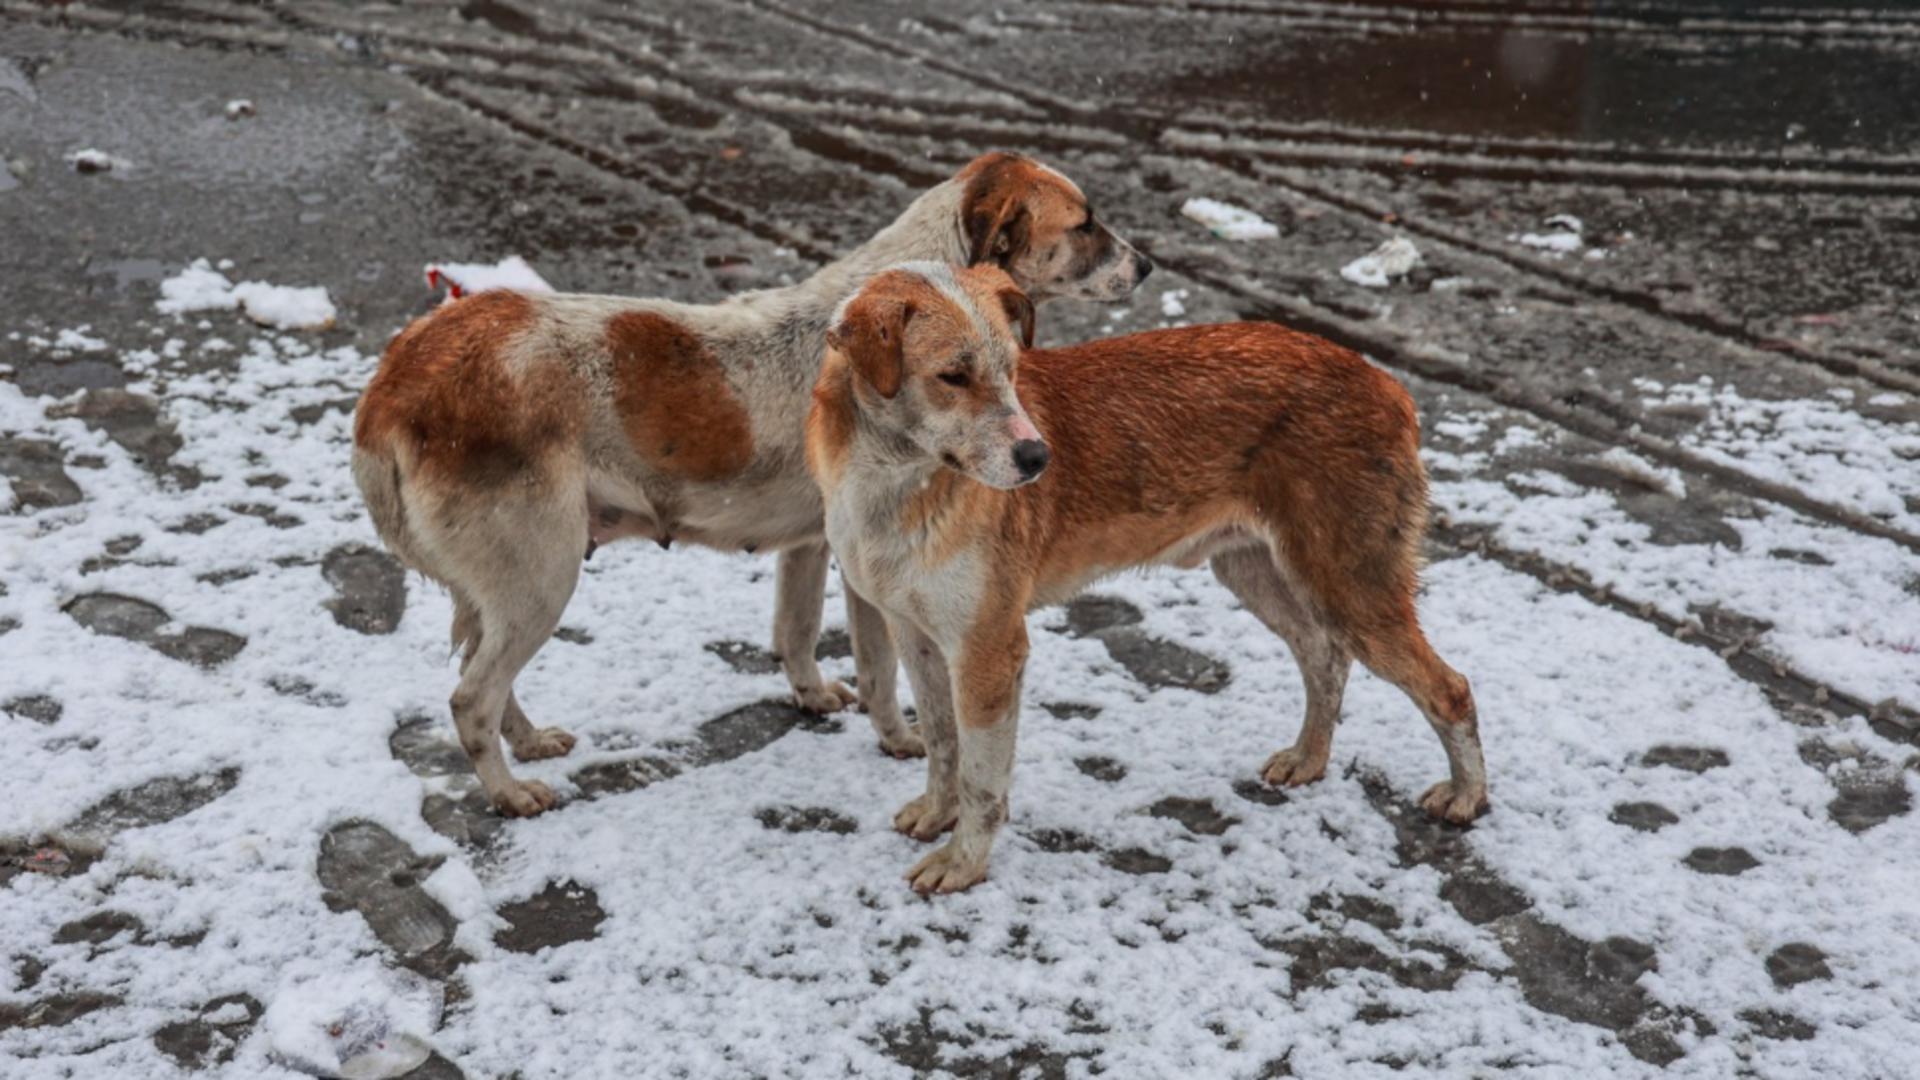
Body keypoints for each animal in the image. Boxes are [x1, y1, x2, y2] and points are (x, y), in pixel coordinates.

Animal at [353, 148, 1144, 807]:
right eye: (1085, 223)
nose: (1148, 267)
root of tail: (396, 377)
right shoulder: (863, 570)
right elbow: (879, 666)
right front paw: (899, 739)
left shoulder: (810, 545)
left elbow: (794, 632)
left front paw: (813, 697)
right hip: (541, 575)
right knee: (471, 698)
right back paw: (511, 793)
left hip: (508, 587)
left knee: (485, 674)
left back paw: (529, 743)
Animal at [806, 261, 1482, 891]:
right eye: (953, 376)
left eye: (1012, 370)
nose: (1039, 459)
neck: (897, 483)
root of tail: (1383, 380)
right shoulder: (914, 633)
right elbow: (944, 743)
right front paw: (937, 814)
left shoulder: (991, 649)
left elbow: (982, 779)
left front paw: (964, 863)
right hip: (1255, 571)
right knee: (1324, 658)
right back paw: (1309, 760)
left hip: (1350, 586)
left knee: (1449, 687)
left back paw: (1467, 797)